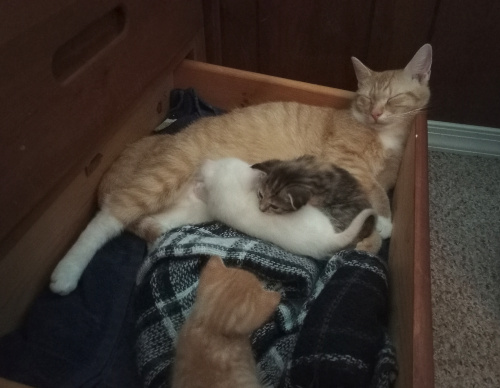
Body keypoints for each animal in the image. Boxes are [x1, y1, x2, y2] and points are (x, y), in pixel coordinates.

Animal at [51, 44, 434, 296]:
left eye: (393, 99)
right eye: (367, 99)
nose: (376, 113)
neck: (383, 134)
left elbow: (377, 194)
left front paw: (372, 233)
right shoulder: (346, 164)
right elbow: (375, 193)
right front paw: (383, 225)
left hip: (196, 207)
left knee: (157, 224)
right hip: (163, 174)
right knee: (108, 217)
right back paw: (66, 273)